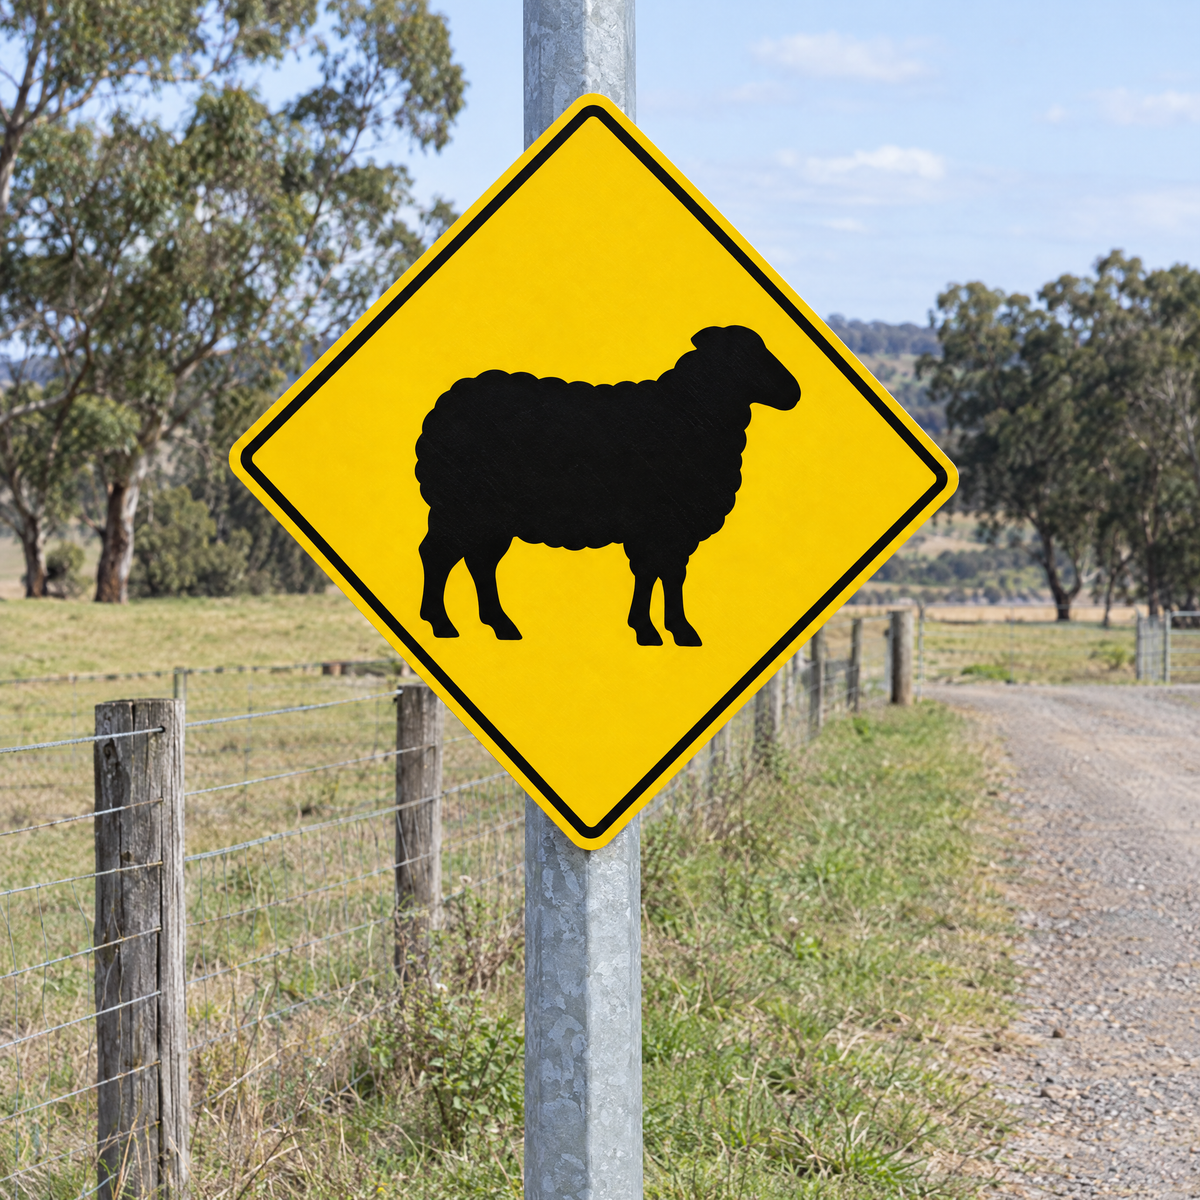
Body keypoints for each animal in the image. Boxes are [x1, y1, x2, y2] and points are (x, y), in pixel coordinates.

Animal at [414, 324, 801, 647]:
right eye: (744, 354)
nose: (794, 392)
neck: (689, 411)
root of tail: (444, 404)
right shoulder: (657, 523)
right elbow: (655, 572)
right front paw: (657, 631)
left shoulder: (670, 527)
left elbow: (665, 573)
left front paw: (667, 630)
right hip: (460, 508)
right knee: (436, 554)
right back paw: (441, 624)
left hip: (489, 517)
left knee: (480, 562)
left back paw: (501, 625)